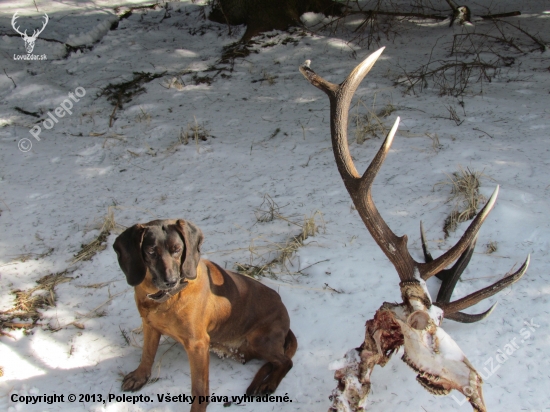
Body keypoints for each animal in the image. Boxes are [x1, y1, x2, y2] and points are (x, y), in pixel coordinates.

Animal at [113, 217, 298, 410]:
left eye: (177, 249)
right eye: (150, 251)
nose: (171, 281)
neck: (166, 298)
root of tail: (283, 310)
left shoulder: (198, 345)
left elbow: (199, 388)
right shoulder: (149, 326)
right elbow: (147, 354)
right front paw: (139, 376)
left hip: (260, 339)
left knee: (286, 361)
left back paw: (269, 383)